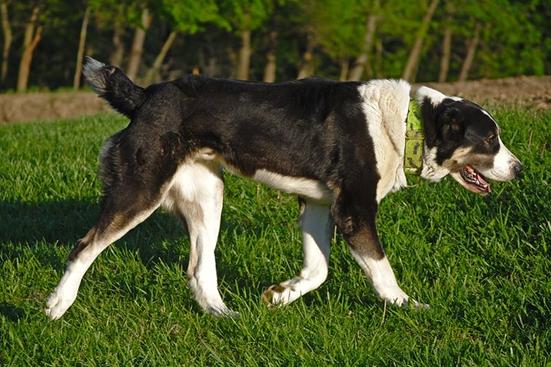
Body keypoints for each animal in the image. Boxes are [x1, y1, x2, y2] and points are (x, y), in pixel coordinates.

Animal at [44, 57, 520, 320]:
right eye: (489, 140)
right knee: (83, 247)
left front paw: (279, 296)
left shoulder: (317, 205)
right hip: (140, 191)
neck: (406, 124)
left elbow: (318, 271)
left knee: (198, 268)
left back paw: (223, 315)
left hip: (207, 195)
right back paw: (56, 306)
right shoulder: (354, 211)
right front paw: (408, 307)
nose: (518, 168)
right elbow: (382, 272)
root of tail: (145, 96)